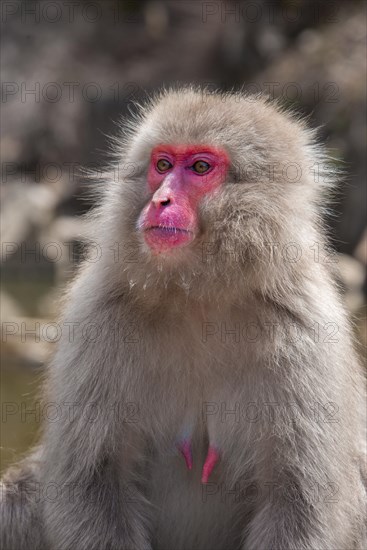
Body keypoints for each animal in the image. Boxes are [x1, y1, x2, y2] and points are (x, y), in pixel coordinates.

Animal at [0, 86, 367, 550]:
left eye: (200, 167)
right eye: (162, 165)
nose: (160, 201)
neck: (199, 296)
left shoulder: (307, 332)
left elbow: (299, 499)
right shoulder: (98, 315)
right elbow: (93, 482)